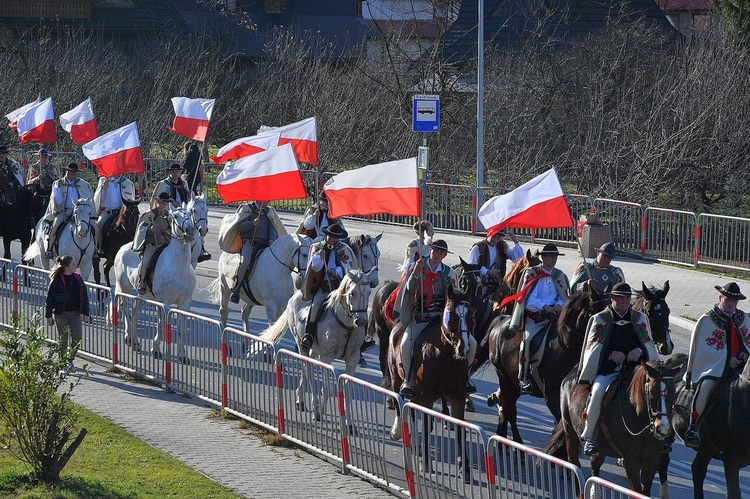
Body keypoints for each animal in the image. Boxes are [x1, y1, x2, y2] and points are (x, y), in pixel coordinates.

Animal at [114, 205, 197, 362]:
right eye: (175, 216)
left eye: (190, 214)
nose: (190, 231)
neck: (178, 266)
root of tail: (122, 248)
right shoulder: (163, 302)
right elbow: (161, 325)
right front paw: (156, 349)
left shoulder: (185, 302)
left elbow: (182, 330)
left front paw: (183, 356)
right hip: (124, 287)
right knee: (124, 307)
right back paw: (128, 337)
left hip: (142, 295)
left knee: (135, 312)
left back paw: (135, 341)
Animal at [260, 270, 374, 422]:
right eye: (352, 293)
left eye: (369, 292)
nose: (361, 321)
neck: (347, 326)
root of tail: (295, 295)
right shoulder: (326, 357)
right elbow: (326, 387)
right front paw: (319, 412)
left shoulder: (353, 358)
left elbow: (348, 387)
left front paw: (349, 422)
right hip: (301, 344)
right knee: (307, 370)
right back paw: (313, 404)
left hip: (313, 350)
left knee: (305, 368)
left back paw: (300, 400)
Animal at [548, 362, 684, 498]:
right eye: (651, 390)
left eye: (673, 392)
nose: (664, 428)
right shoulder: (631, 460)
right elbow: (637, 491)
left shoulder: (652, 459)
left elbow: (645, 491)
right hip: (570, 430)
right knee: (574, 463)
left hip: (600, 445)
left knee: (595, 464)